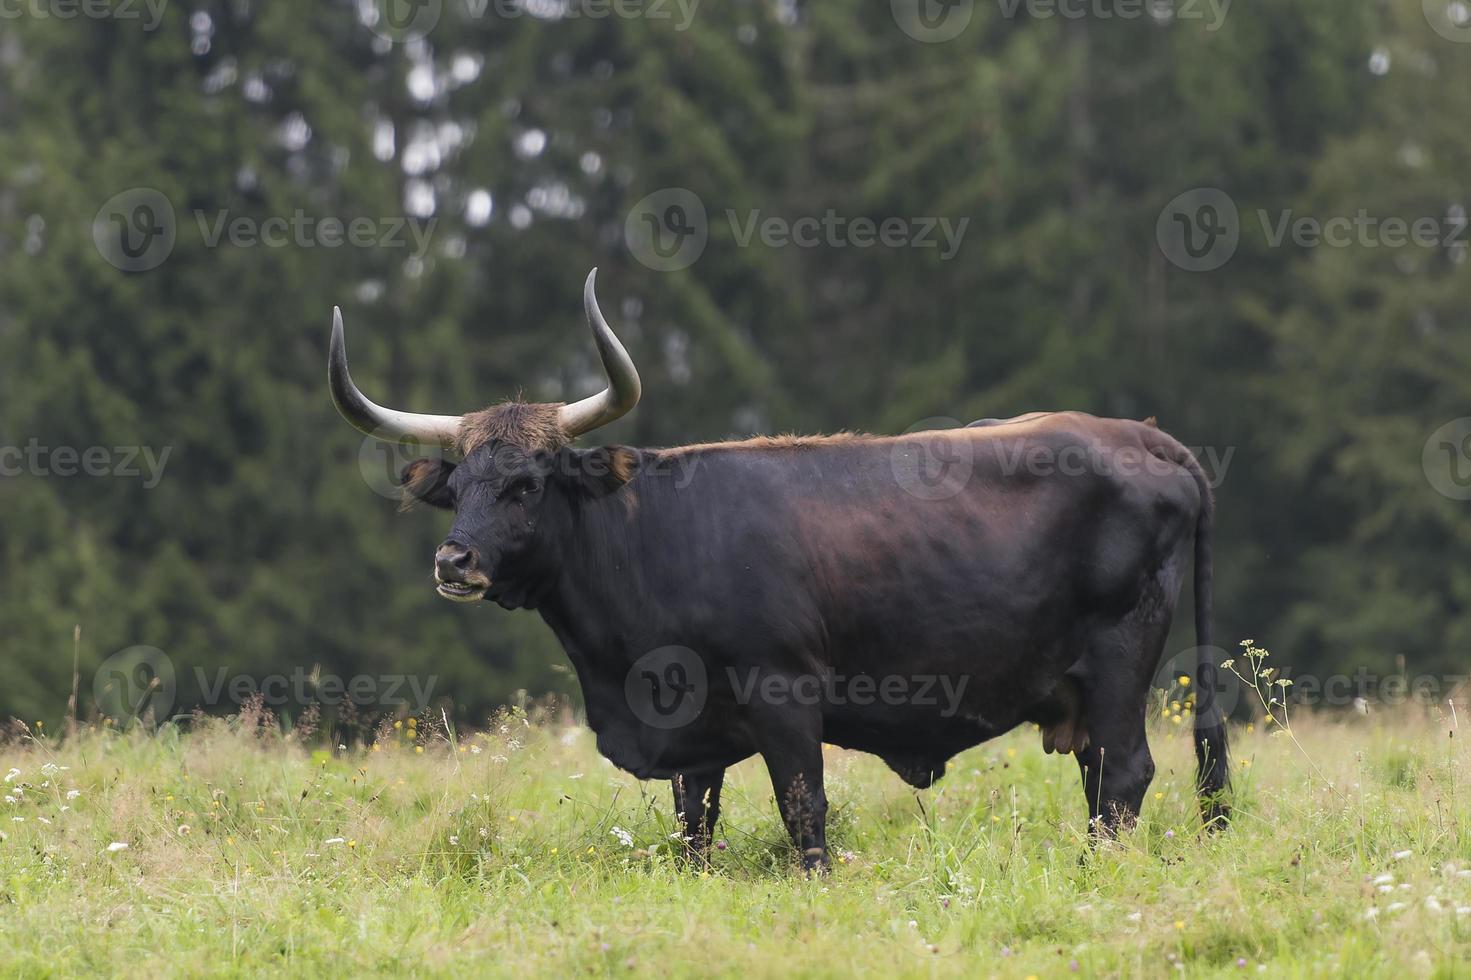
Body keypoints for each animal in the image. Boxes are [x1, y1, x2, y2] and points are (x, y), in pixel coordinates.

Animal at [330, 269, 1229, 871]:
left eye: (527, 484)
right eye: (459, 492)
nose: (454, 560)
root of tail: (1146, 436)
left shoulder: (784, 695)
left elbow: (804, 810)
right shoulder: (689, 732)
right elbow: (694, 825)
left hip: (1117, 663)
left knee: (1122, 775)